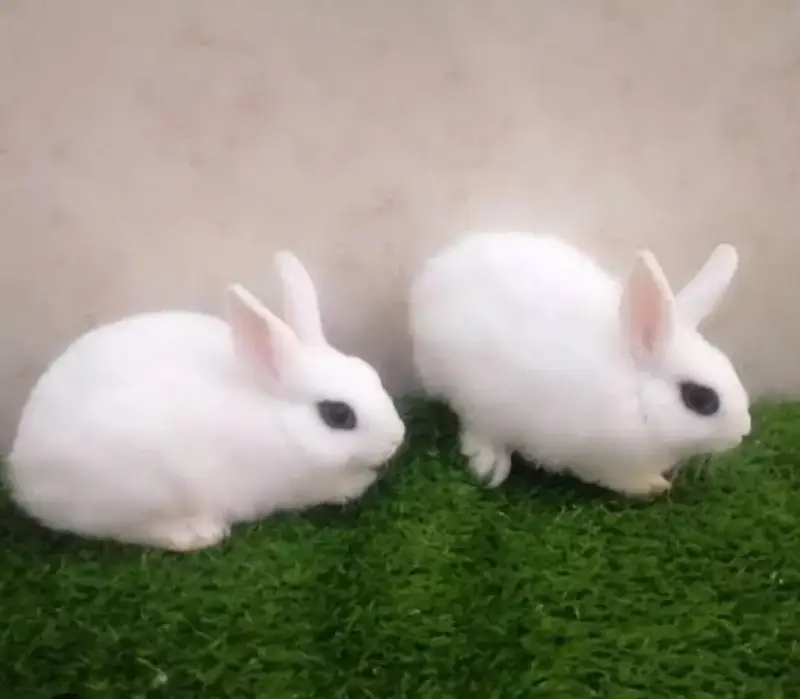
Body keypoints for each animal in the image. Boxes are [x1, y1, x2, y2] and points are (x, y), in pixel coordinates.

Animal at [6, 251, 406, 551]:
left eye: (370, 372)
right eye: (337, 414)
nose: (397, 439)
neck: (277, 422)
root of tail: (24, 477)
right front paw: (358, 483)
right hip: (142, 489)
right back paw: (198, 534)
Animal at [408, 231, 751, 497]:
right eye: (700, 398)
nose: (743, 432)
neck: (636, 397)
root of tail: (428, 280)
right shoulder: (597, 458)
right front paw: (652, 486)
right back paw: (490, 463)